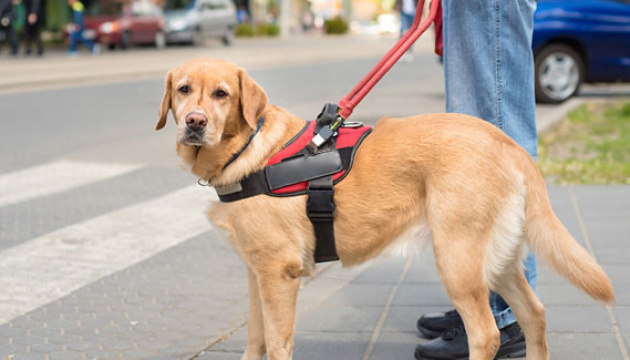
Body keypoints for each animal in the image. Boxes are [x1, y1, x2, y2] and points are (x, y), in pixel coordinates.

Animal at [157, 59, 616, 360]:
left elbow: (277, 343)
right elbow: (257, 341)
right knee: (534, 314)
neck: (247, 149)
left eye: (222, 94)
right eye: (183, 90)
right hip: (497, 260)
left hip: (457, 258)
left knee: (487, 334)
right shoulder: (257, 273)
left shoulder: (278, 273)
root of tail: (507, 142)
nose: (195, 122)